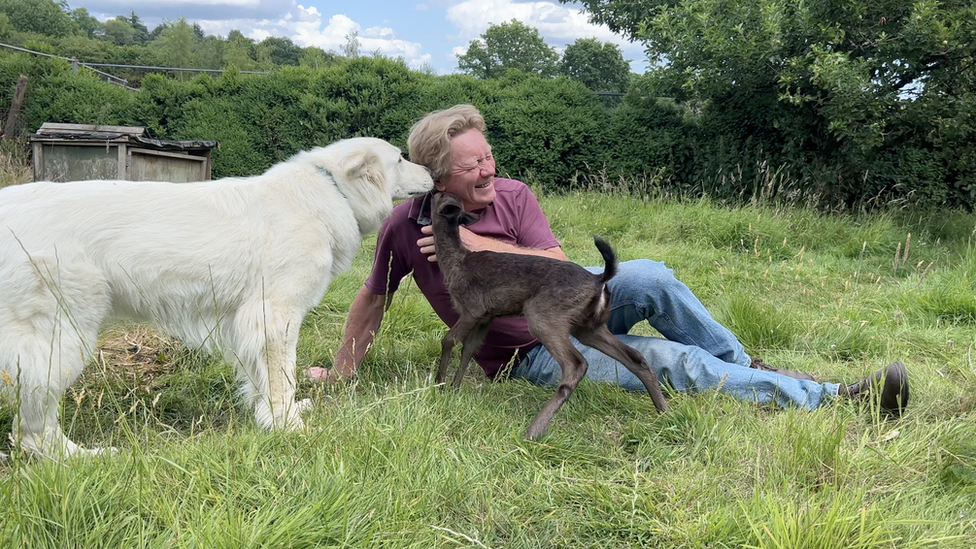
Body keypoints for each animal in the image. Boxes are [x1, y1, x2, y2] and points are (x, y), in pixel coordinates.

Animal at [0, 137, 434, 458]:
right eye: (400, 158)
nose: (432, 172)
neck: (332, 191)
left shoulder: (250, 323)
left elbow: (261, 380)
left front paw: (270, 417)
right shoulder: (275, 317)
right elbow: (283, 379)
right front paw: (288, 426)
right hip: (61, 338)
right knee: (33, 429)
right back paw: (80, 457)